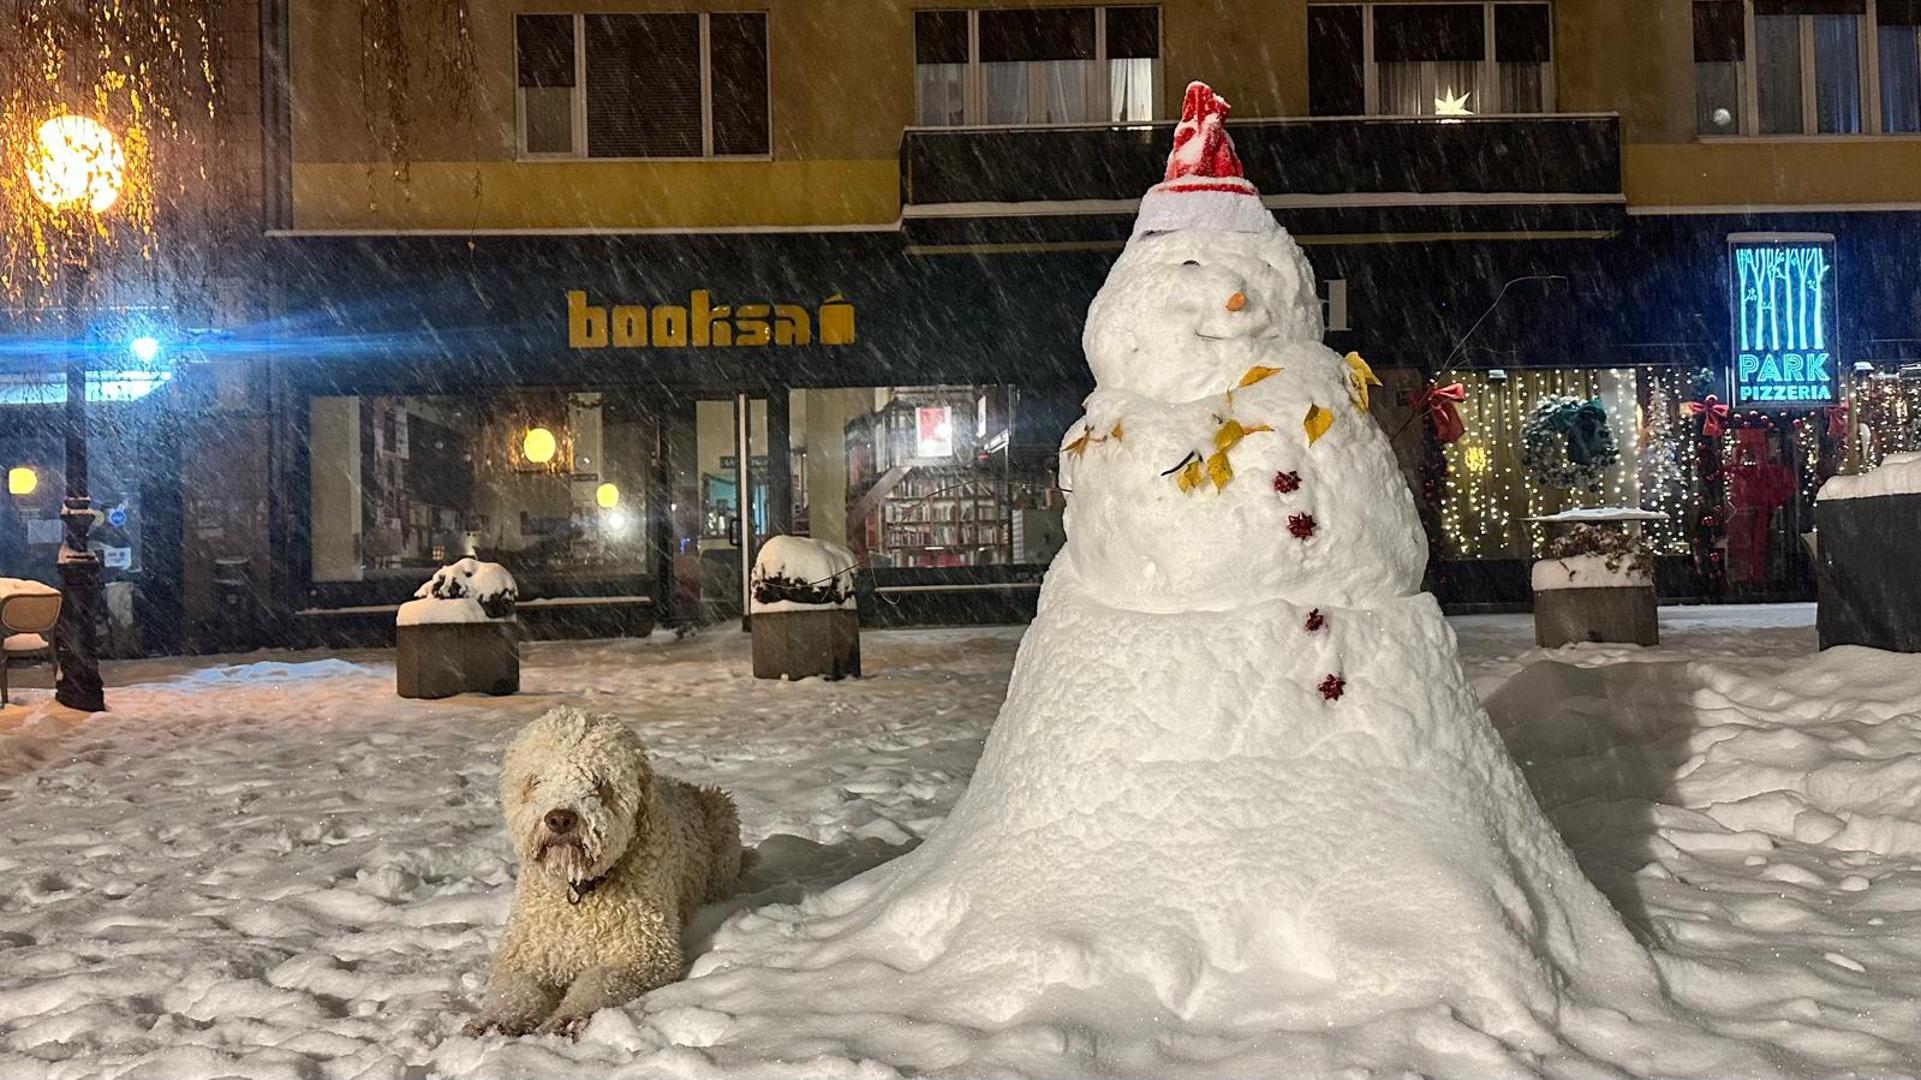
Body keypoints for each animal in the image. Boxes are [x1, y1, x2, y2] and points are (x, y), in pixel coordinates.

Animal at [464, 706, 743, 1038]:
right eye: (536, 780)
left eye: (599, 781)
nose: (560, 819)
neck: (579, 893)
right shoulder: (524, 955)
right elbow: (513, 990)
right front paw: (495, 1020)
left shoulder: (641, 955)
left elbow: (598, 983)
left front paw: (569, 1017)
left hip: (722, 814)